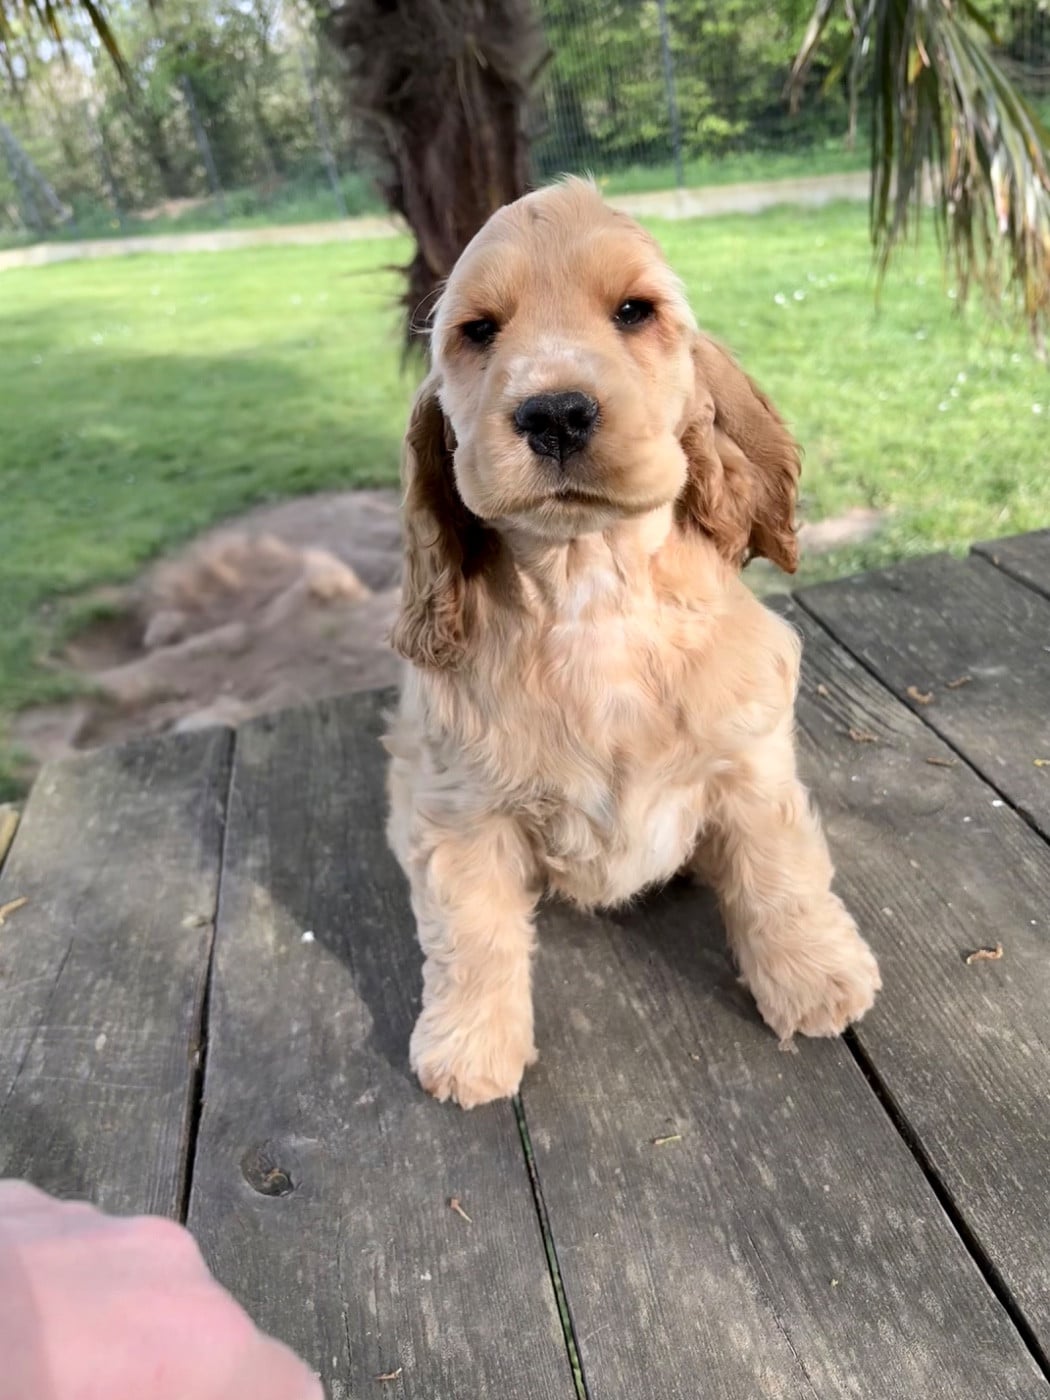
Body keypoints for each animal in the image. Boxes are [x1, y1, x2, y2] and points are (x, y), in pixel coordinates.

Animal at [385, 178, 880, 1108]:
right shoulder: (458, 806)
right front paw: (469, 1046)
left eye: (633, 311)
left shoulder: (750, 760)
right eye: (479, 331)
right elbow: (472, 930)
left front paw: (815, 978)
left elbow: (781, 874)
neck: (591, 590)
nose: (553, 412)